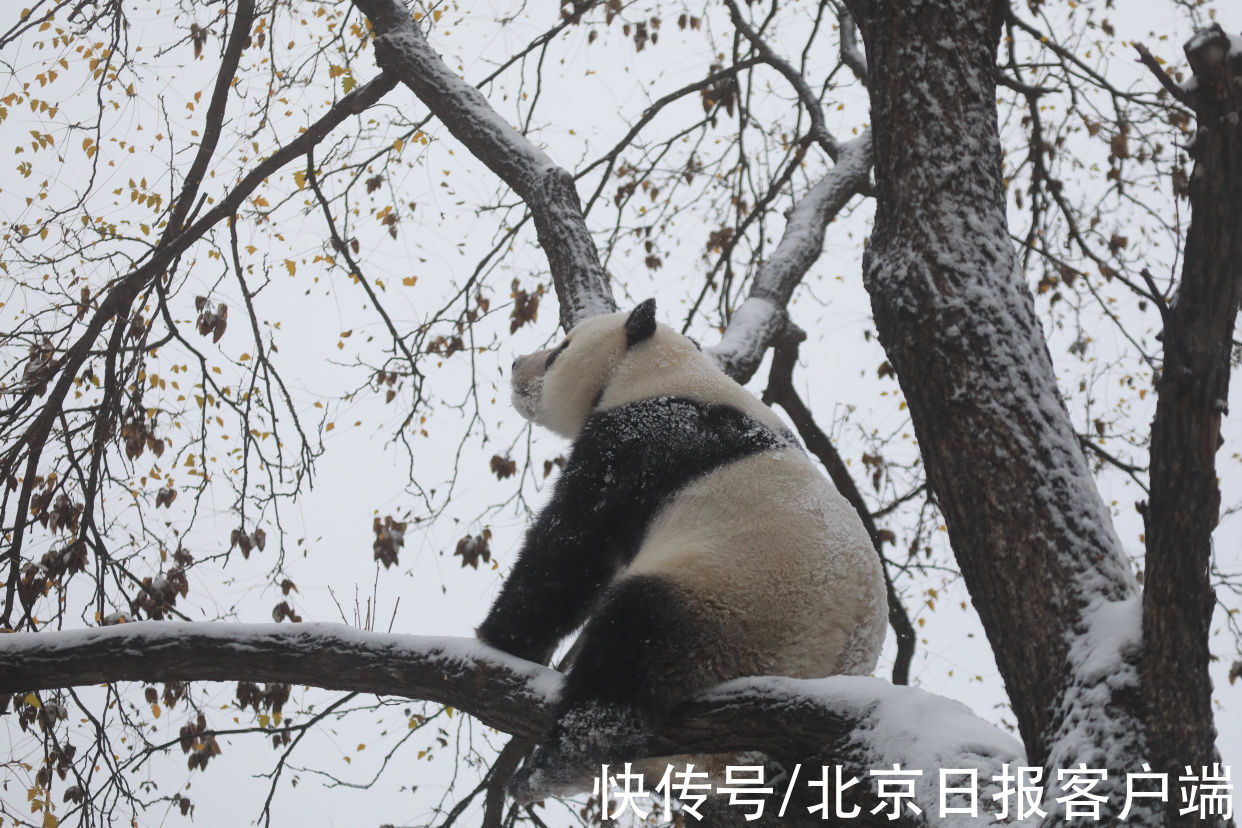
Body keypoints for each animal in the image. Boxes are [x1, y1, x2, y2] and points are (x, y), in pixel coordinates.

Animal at [476, 297, 894, 804]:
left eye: (560, 349)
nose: (517, 364)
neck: (662, 370)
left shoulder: (642, 442)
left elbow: (573, 547)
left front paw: (500, 639)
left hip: (738, 604)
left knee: (630, 647)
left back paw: (552, 768)